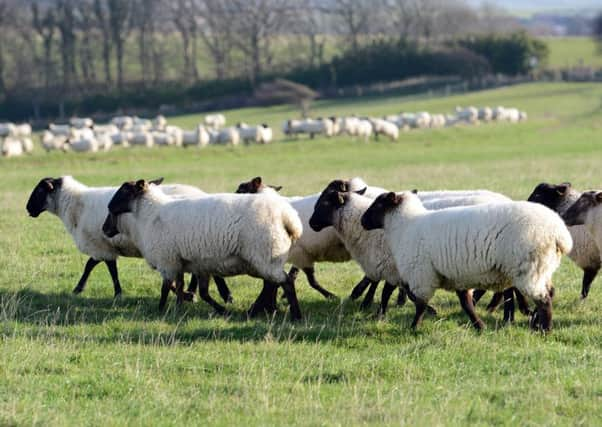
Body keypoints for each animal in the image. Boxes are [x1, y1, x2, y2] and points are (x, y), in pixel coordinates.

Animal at [24, 176, 230, 304]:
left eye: (39, 191)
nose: (28, 209)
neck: (75, 205)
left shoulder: (100, 245)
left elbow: (99, 267)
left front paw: (108, 292)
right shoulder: (104, 245)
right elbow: (97, 266)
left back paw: (218, 294)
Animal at [101, 179, 304, 320]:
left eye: (124, 191)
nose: (104, 229)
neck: (149, 215)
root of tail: (288, 218)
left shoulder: (167, 261)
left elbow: (165, 288)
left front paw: (160, 310)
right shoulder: (187, 263)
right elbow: (189, 288)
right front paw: (182, 307)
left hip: (265, 256)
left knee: (285, 282)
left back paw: (294, 315)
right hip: (267, 258)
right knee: (274, 283)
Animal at [358, 192, 568, 332]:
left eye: (378, 205)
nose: (362, 221)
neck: (405, 226)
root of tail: (559, 233)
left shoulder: (422, 275)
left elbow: (420, 304)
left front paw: (414, 327)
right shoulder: (456, 275)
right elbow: (466, 303)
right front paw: (479, 326)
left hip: (528, 269)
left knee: (544, 299)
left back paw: (545, 329)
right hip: (541, 268)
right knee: (549, 292)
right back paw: (536, 323)